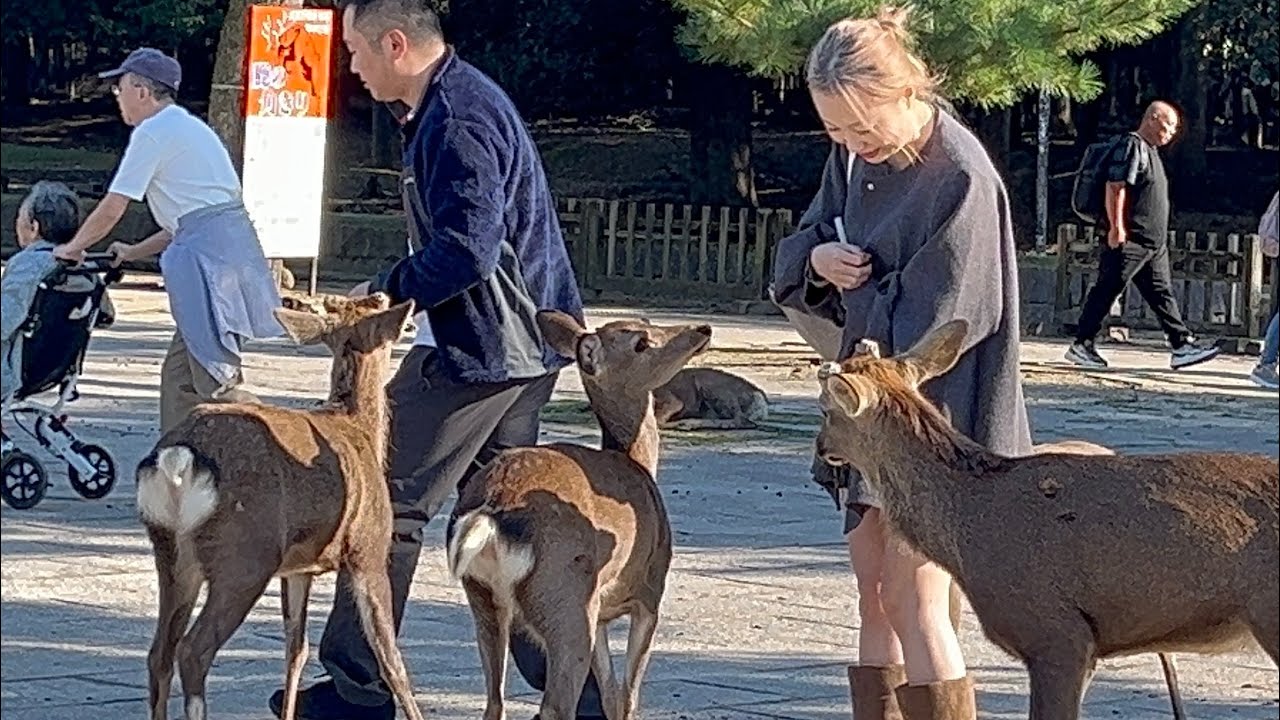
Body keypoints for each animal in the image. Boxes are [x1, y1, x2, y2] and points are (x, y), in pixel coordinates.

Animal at [135, 292, 427, 720]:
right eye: (379, 303)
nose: (394, 300)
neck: (361, 430)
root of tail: (178, 458)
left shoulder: (299, 565)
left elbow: (296, 648)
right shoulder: (368, 550)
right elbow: (391, 660)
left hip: (171, 550)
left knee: (160, 652)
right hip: (245, 555)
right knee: (193, 649)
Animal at [445, 310, 712, 720]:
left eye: (646, 320)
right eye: (640, 342)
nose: (702, 329)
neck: (638, 464)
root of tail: (490, 514)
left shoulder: (600, 613)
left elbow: (609, 693)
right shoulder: (650, 589)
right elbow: (628, 696)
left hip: (484, 597)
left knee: (494, 701)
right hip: (566, 596)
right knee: (555, 705)